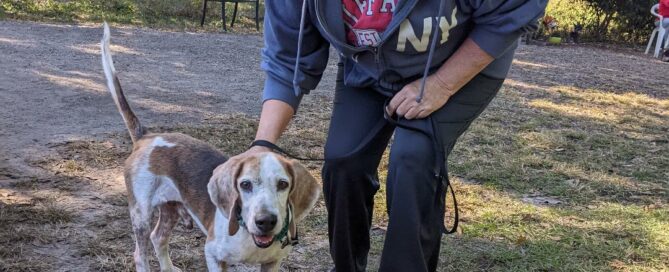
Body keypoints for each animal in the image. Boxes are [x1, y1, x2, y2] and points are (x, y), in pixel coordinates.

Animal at [99, 23, 320, 272]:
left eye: (283, 184)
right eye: (245, 185)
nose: (265, 221)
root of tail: (147, 136)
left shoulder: (272, 262)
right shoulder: (214, 255)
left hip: (170, 208)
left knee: (159, 238)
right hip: (141, 215)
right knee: (140, 253)